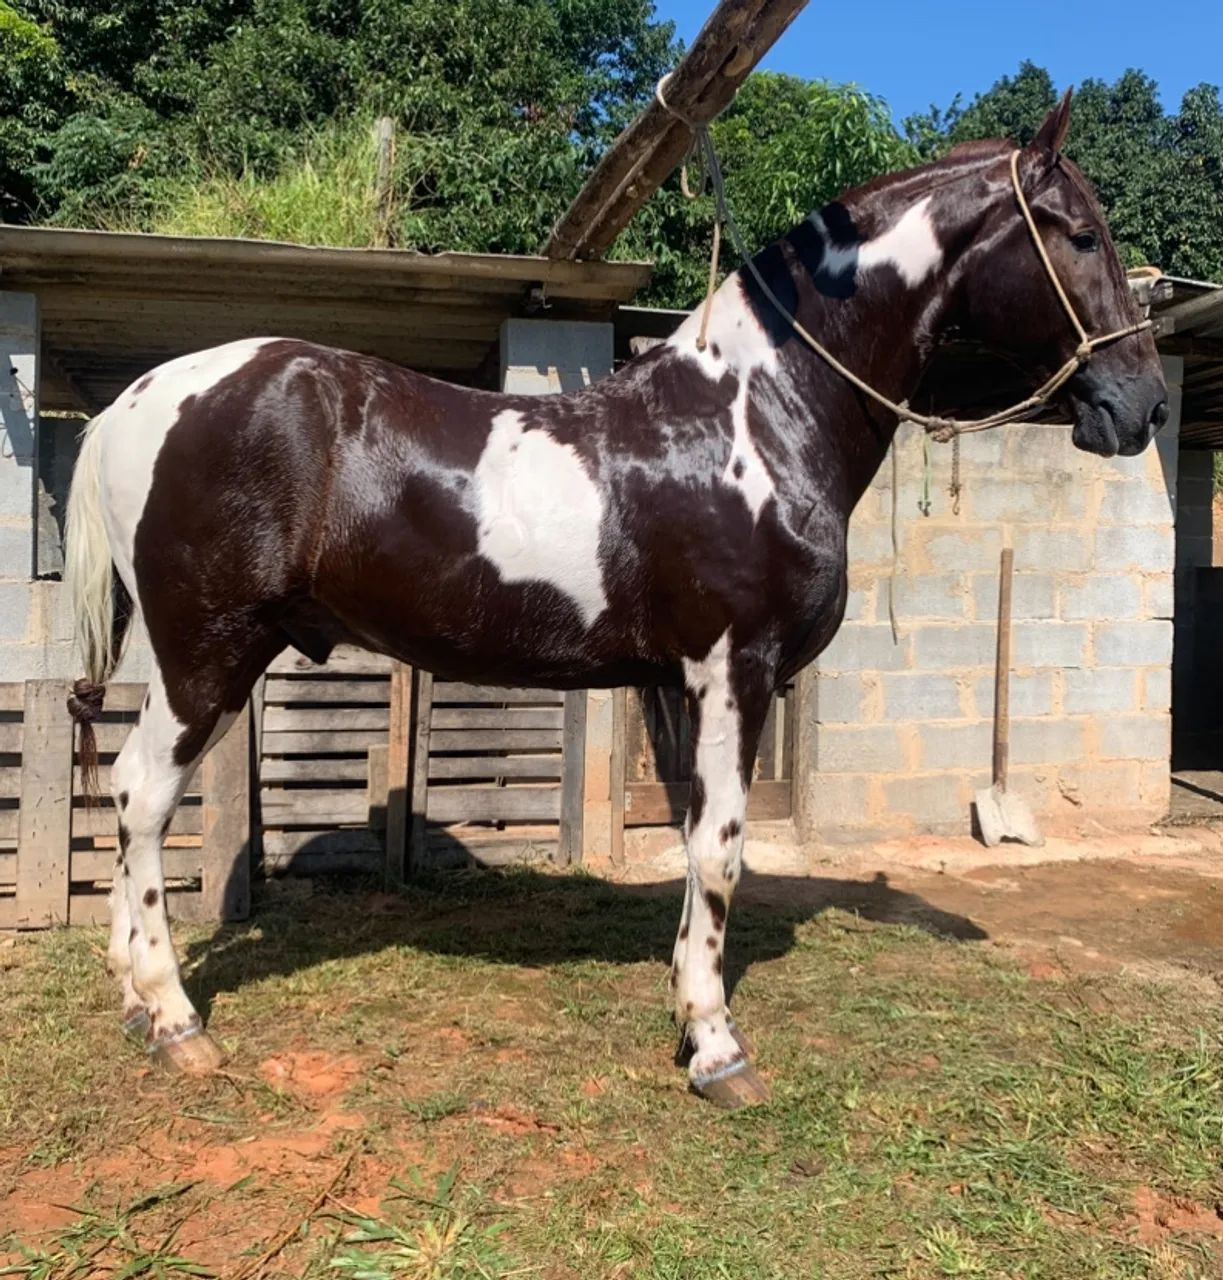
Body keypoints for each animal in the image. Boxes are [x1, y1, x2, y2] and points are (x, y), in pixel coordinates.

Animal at [63, 91, 1167, 1108]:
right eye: (1078, 232)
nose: (1142, 405)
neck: (750, 416)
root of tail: (136, 402)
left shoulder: (680, 684)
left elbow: (693, 841)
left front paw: (689, 1010)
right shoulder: (732, 668)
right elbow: (721, 848)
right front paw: (717, 1048)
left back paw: (131, 1002)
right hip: (204, 653)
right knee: (140, 795)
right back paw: (174, 1018)